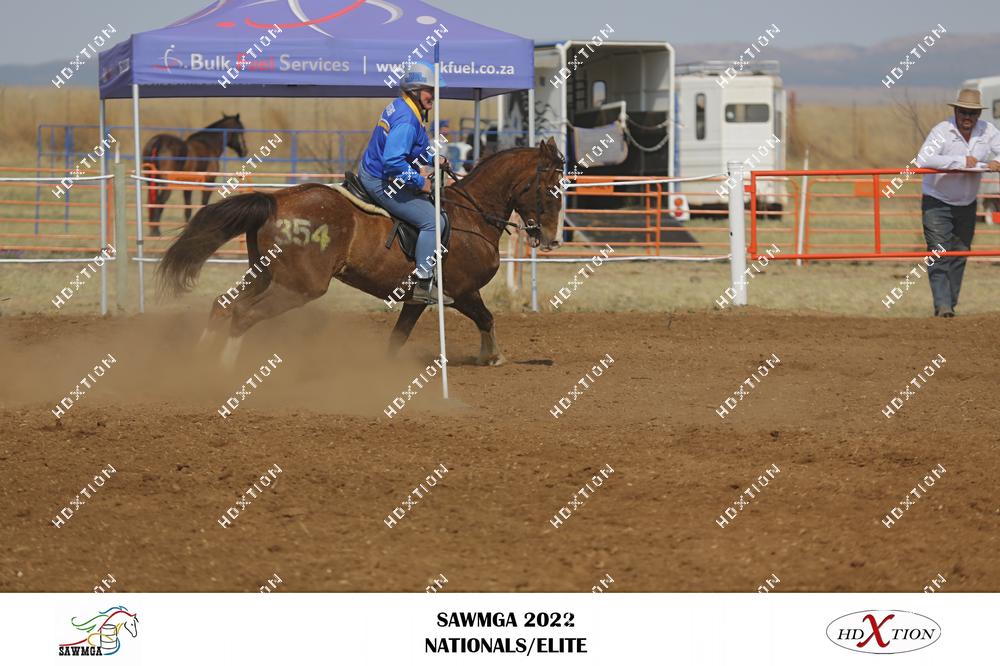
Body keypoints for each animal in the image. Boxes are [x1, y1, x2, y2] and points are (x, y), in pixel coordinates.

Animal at [157, 138, 566, 367]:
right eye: (551, 186)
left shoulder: (418, 299)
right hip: (297, 286)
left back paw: (200, 358)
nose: (551, 238)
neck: (473, 214)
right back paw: (223, 368)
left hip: (265, 274)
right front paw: (492, 356)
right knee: (243, 314)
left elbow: (400, 335)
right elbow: (487, 318)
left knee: (223, 305)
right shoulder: (463, 291)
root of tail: (275, 200)